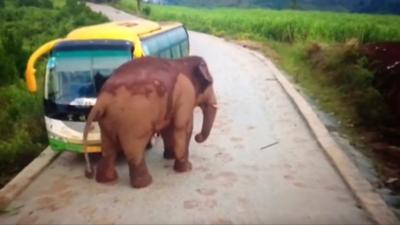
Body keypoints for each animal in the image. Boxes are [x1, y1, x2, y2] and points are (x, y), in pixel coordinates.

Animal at [82, 55, 219, 188]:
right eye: (211, 82)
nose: (198, 137)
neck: (183, 62)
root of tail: (102, 99)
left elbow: (168, 129)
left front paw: (169, 157)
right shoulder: (186, 93)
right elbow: (182, 127)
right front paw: (186, 168)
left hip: (106, 122)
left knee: (108, 148)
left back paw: (106, 180)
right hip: (133, 121)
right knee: (135, 149)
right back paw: (145, 183)